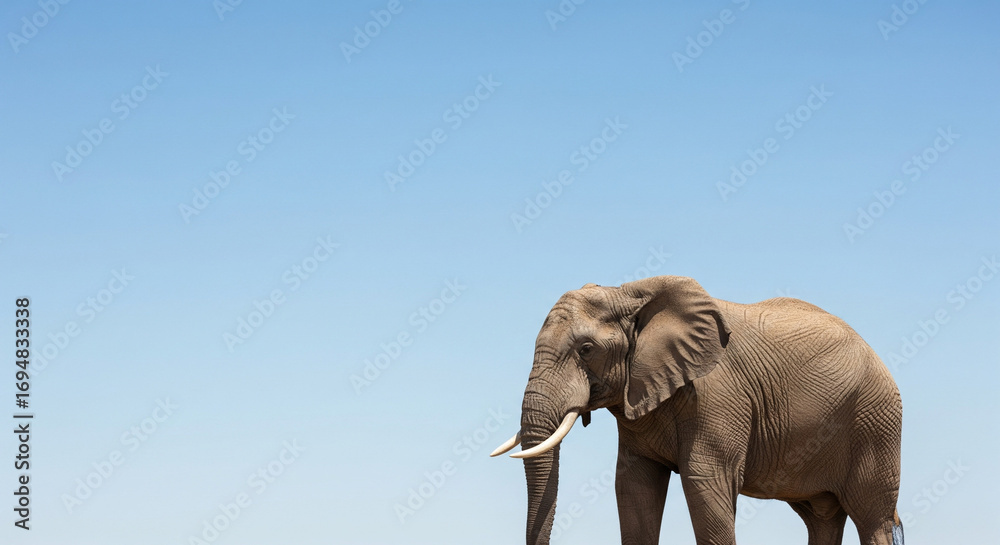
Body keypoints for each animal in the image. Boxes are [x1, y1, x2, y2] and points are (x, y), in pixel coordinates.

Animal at [491, 276, 903, 545]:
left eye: (587, 349)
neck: (630, 292)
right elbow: (634, 487)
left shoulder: (718, 395)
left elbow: (705, 482)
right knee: (821, 518)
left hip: (875, 422)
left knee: (873, 517)